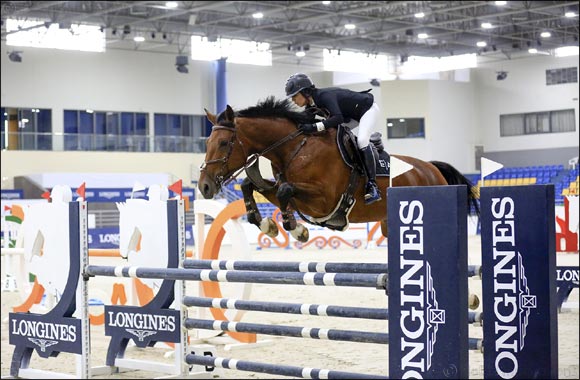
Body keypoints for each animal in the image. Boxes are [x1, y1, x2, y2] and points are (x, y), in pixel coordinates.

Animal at [197, 96, 478, 242]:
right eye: (207, 142)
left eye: (224, 143)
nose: (204, 186)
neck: (294, 147)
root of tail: (432, 168)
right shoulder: (292, 192)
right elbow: (250, 185)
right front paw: (267, 224)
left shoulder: (324, 200)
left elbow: (286, 190)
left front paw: (296, 228)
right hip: (390, 224)